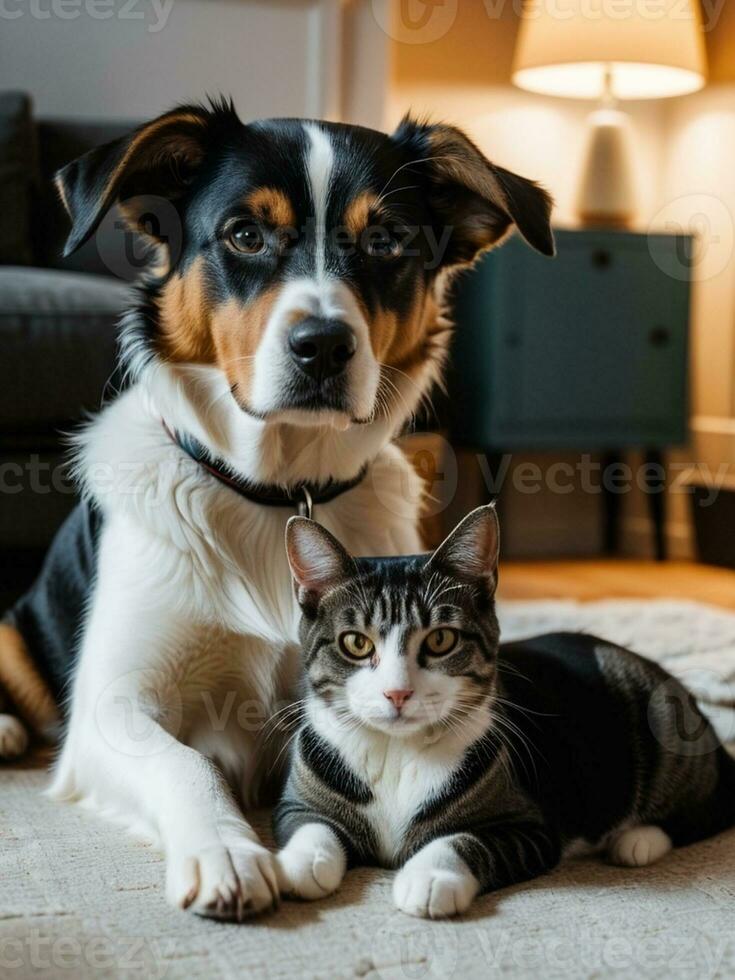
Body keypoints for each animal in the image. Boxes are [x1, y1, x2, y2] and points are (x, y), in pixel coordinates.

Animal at [0, 99, 552, 920]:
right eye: (245, 235)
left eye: (386, 240)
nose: (322, 346)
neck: (278, 488)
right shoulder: (111, 707)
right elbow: (184, 762)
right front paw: (227, 851)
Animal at [272, 506, 735, 920]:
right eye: (355, 643)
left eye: (440, 639)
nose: (397, 692)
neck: (397, 751)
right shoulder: (297, 802)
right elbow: (310, 824)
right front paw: (298, 864)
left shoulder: (531, 827)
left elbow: (466, 841)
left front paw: (429, 877)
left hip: (664, 725)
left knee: (708, 807)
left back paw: (637, 841)